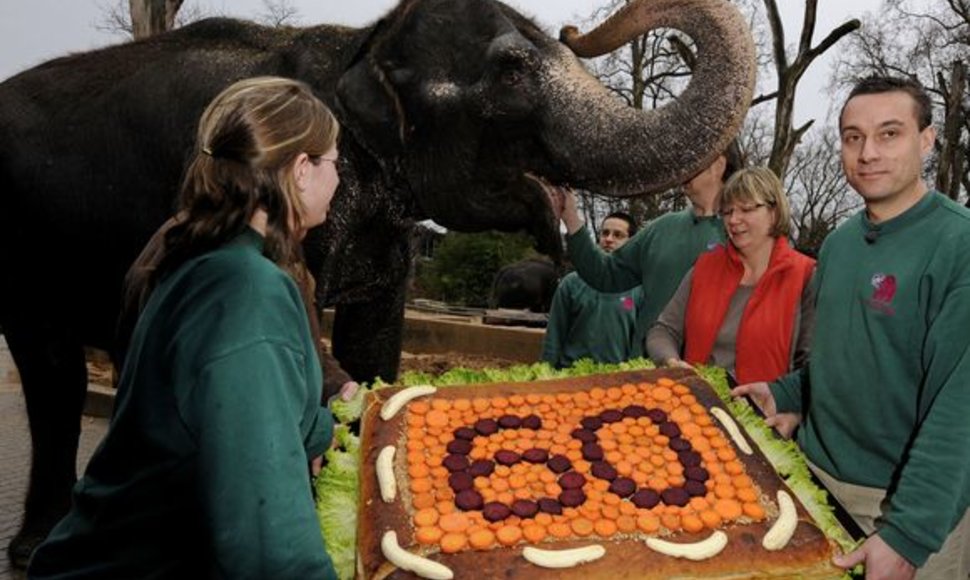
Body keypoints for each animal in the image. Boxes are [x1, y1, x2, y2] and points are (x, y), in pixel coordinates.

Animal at [0, 0, 756, 568]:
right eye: (511, 71)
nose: (577, 29)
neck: (356, 46)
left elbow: (372, 340)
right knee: (54, 371)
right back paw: (36, 547)